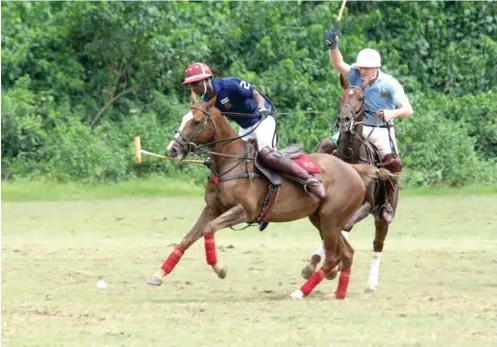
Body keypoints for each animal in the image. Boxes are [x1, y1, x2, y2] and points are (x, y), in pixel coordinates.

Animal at [145, 91, 398, 300]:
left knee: (335, 257)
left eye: (196, 121)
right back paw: (338, 293)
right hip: (323, 219)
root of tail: (355, 169)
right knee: (346, 253)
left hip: (332, 219)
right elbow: (187, 238)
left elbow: (209, 229)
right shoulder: (212, 209)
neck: (230, 163)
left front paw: (220, 269)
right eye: (183, 119)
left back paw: (299, 293)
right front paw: (158, 274)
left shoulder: (244, 211)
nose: (172, 150)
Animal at [300, 76, 402, 294]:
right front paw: (317, 265)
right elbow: (329, 230)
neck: (350, 155)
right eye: (341, 96)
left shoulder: (367, 205)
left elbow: (342, 227)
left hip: (382, 212)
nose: (345, 120)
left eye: (361, 98)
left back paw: (370, 284)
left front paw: (333, 266)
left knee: (378, 242)